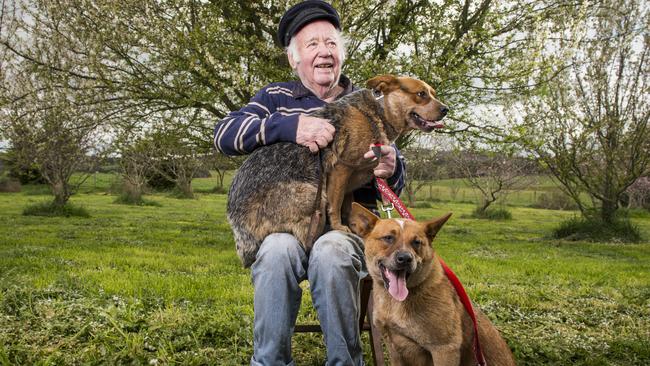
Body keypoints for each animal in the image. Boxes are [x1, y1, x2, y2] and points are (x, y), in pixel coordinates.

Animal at [227, 75, 446, 266]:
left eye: (433, 93)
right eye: (421, 94)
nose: (446, 109)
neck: (379, 112)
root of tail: (237, 227)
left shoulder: (350, 183)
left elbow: (348, 207)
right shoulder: (342, 169)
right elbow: (336, 204)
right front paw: (340, 227)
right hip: (313, 196)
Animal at [346, 203, 512, 366]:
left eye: (417, 242)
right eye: (388, 238)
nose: (405, 258)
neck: (395, 303)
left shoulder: (444, 349)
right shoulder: (394, 349)